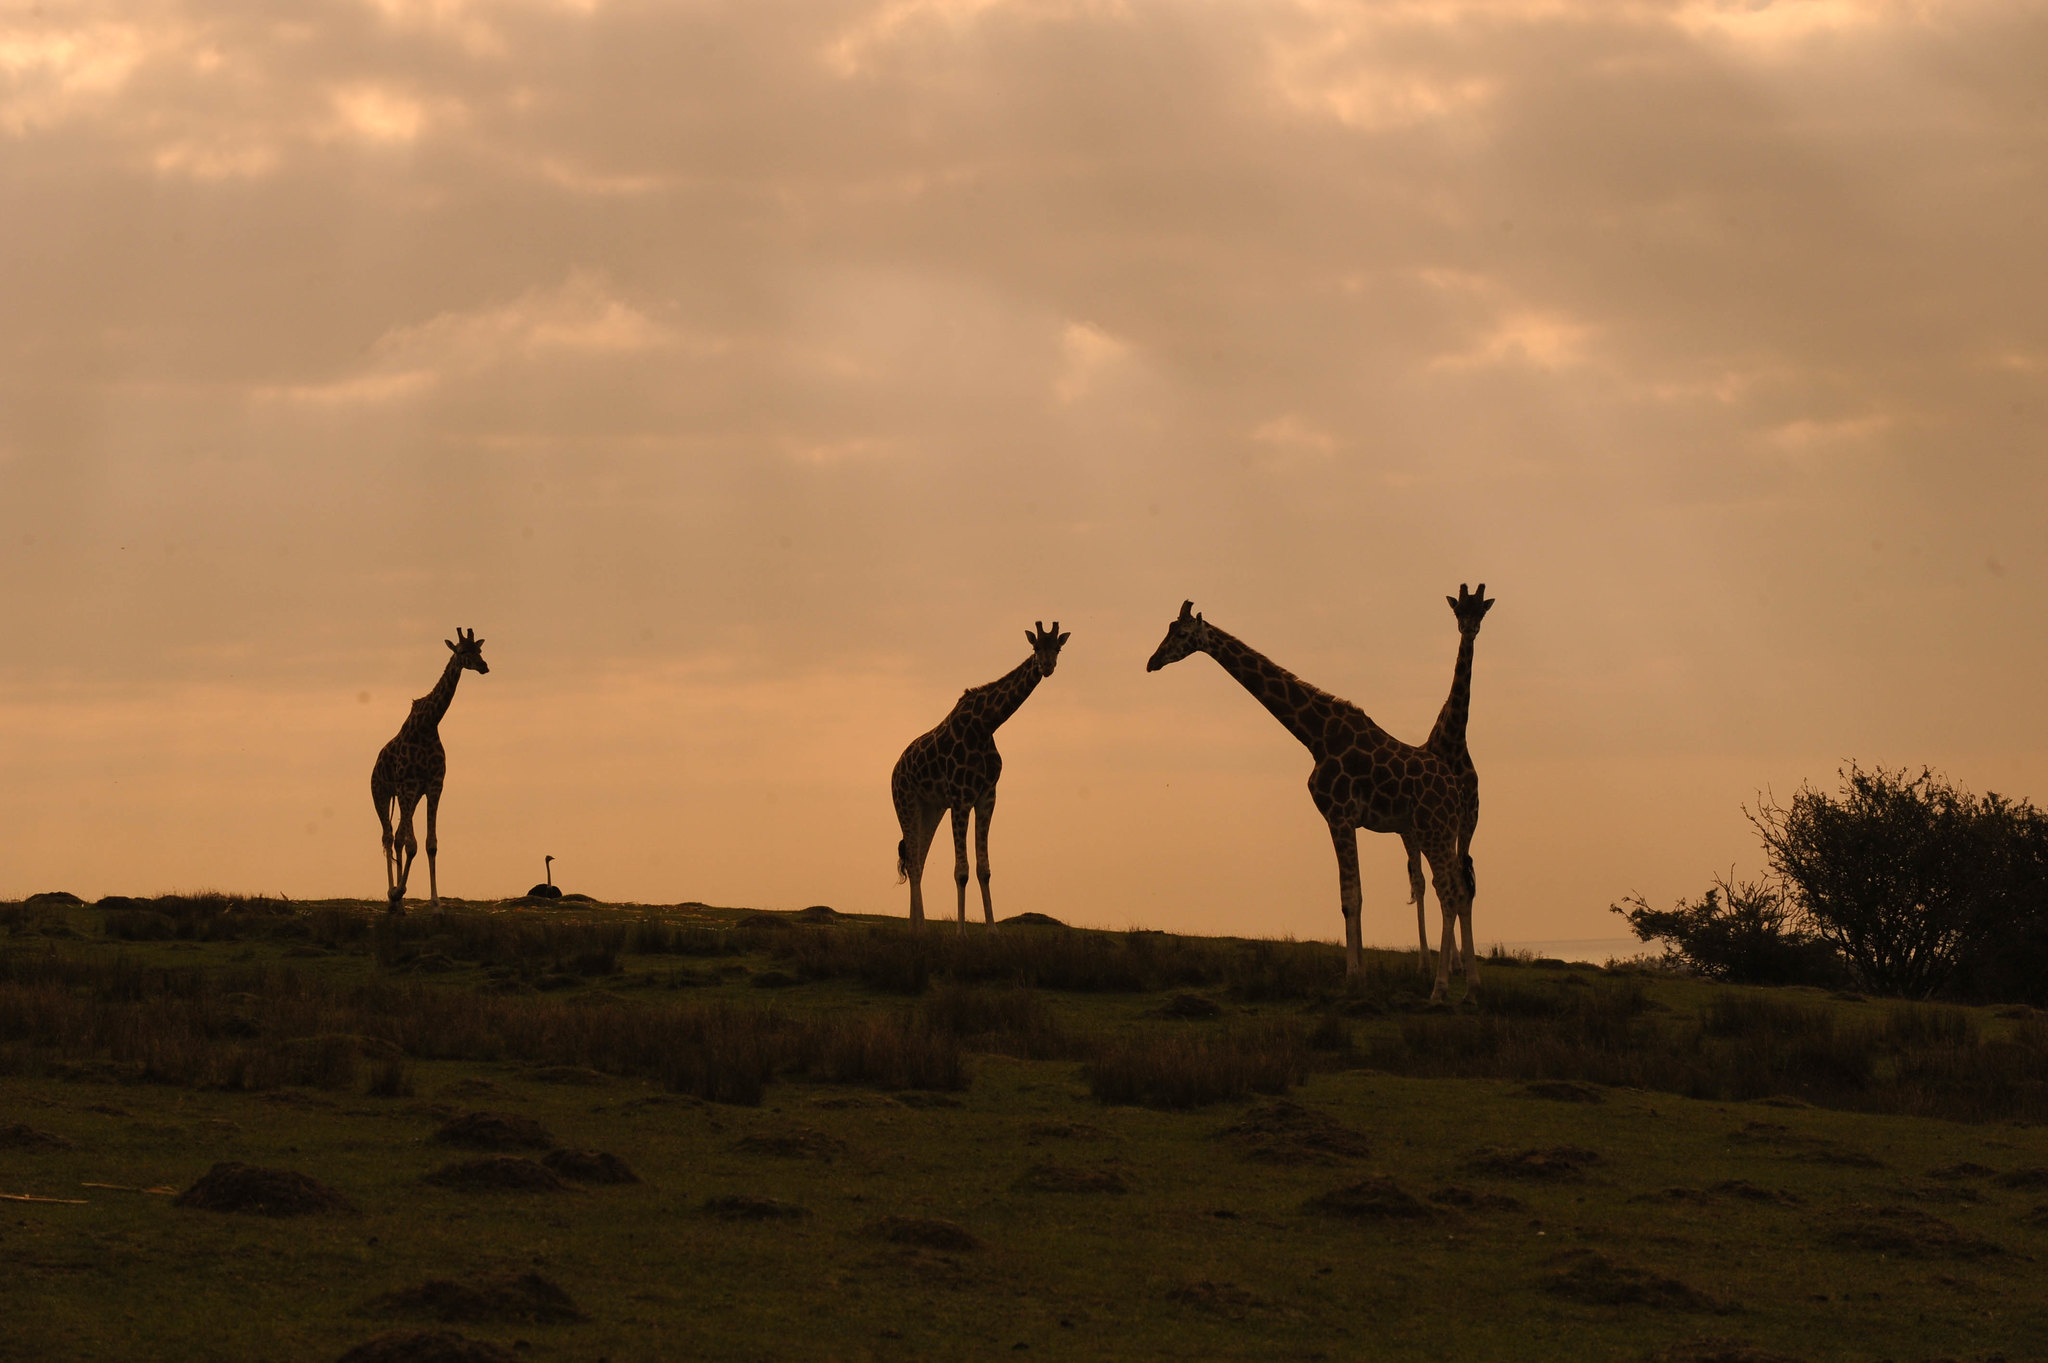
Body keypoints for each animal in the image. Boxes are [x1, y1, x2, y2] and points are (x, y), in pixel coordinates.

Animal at [371, 628, 489, 913]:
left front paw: (436, 902)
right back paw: (392, 896)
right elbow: (413, 845)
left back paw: (400, 904)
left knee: (398, 837)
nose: (484, 666)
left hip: (410, 798)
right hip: (381, 793)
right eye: (462, 651)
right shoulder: (408, 785)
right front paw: (398, 891)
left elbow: (430, 844)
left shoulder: (434, 785)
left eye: (480, 650)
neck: (428, 724)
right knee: (388, 837)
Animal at [892, 622, 1070, 932]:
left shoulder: (987, 796)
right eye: (1036, 647)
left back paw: (918, 930)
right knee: (913, 861)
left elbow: (983, 869)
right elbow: (961, 871)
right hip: (906, 803)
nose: (1047, 666)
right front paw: (961, 933)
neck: (987, 724)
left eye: (1057, 648)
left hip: (931, 809)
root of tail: (894, 770)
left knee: (917, 861)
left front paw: (992, 931)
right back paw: (919, 930)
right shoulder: (961, 796)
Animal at [1146, 589, 1494, 1000]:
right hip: (1438, 831)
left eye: (1183, 635)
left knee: (1449, 892)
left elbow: (1350, 897)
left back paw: (1440, 989)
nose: (1152, 662)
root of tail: (1454, 789)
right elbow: (1354, 895)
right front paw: (1361, 975)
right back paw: (1471, 987)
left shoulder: (1339, 814)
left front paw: (1353, 978)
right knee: (1459, 889)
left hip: (1433, 830)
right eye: (1169, 629)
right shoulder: (1347, 819)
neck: (1316, 735)